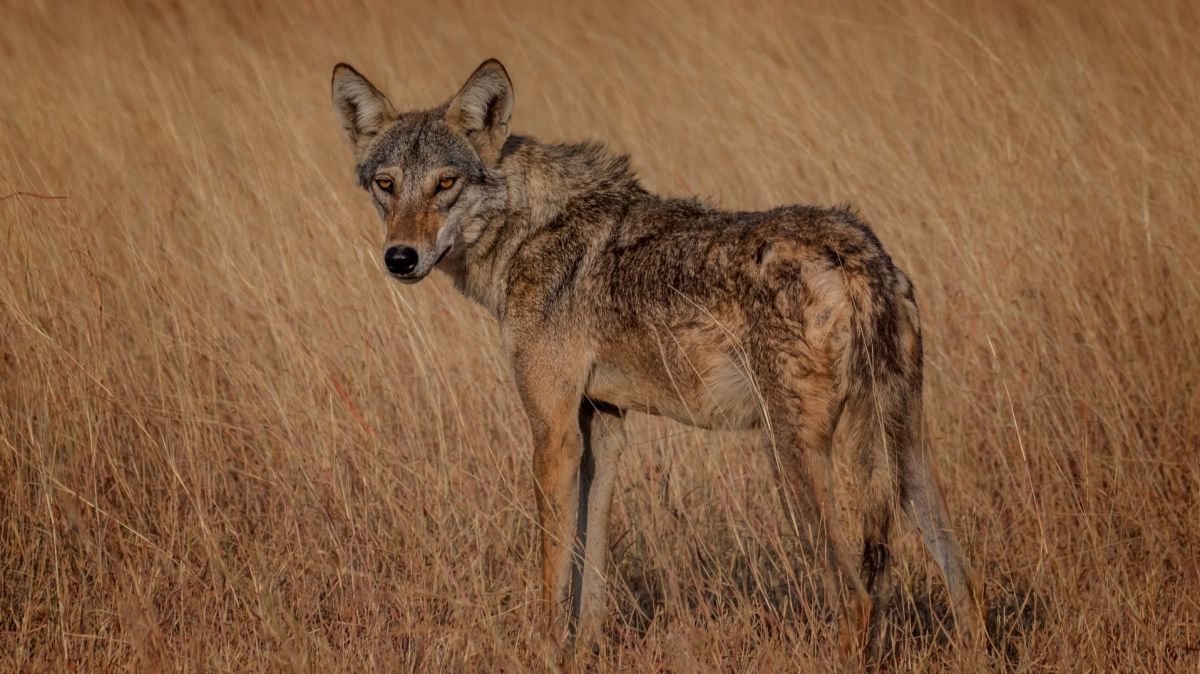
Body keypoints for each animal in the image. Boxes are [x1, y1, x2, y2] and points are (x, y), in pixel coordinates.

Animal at [329, 59, 985, 659]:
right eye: (387, 185)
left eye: (446, 184)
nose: (400, 257)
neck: (527, 232)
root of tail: (858, 252)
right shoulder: (603, 427)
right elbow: (589, 577)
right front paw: (584, 655)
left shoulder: (553, 433)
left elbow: (552, 575)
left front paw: (544, 653)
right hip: (905, 457)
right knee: (965, 587)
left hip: (792, 458)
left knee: (856, 598)